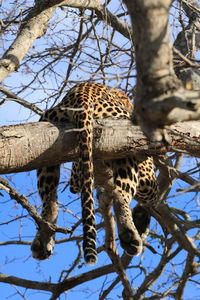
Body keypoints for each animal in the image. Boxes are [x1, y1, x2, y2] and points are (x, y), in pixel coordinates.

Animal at [30, 81, 159, 264]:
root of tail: (81, 94)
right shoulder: (147, 174)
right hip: (122, 132)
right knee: (121, 193)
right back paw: (129, 233)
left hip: (49, 130)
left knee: (49, 199)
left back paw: (43, 238)